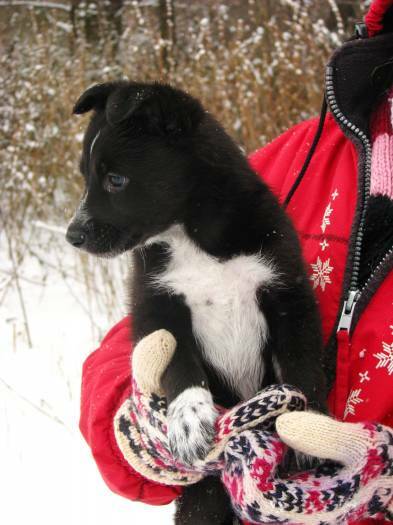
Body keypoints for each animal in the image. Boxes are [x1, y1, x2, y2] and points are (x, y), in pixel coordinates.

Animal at [66, 82, 324, 524]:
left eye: (116, 180)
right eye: (86, 176)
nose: (72, 235)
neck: (194, 238)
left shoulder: (288, 295)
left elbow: (302, 364)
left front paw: (307, 429)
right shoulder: (156, 307)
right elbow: (178, 362)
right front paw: (188, 418)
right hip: (201, 499)